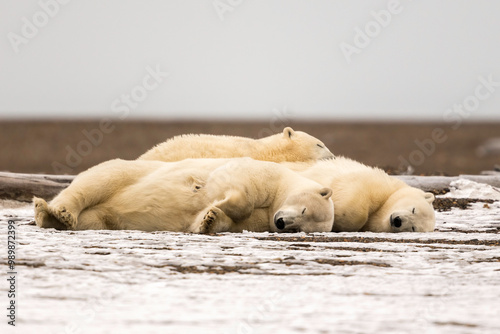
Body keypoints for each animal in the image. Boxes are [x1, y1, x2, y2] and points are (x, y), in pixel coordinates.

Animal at [33, 158, 334, 234]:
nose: (282, 223)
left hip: (104, 217)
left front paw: (208, 219)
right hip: (129, 172)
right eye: (305, 211)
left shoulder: (260, 221)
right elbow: (239, 188)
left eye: (300, 229)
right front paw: (216, 201)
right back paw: (57, 212)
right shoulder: (262, 173)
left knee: (94, 218)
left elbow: (230, 223)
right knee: (97, 181)